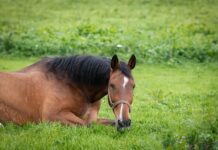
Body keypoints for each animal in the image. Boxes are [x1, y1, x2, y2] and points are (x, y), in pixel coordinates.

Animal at [0, 54, 136, 131]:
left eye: (133, 86)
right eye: (112, 85)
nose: (124, 122)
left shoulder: (92, 118)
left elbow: (107, 122)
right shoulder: (53, 116)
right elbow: (87, 125)